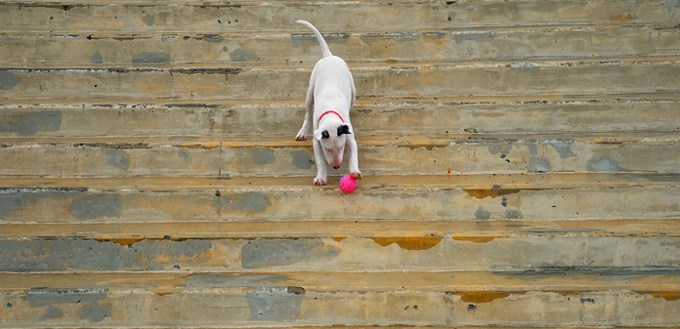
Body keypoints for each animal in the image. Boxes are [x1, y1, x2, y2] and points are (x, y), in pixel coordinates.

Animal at [294, 19, 364, 184]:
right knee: (308, 113)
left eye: (342, 147)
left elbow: (354, 153)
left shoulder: (348, 135)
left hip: (353, 91)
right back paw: (302, 131)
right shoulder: (317, 140)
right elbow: (320, 160)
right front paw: (321, 177)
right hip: (310, 92)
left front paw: (355, 171)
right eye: (327, 149)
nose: (337, 167)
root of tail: (329, 56)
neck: (331, 113)